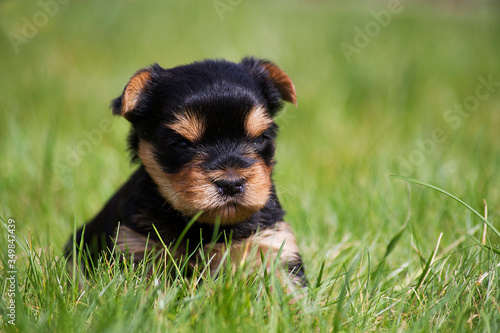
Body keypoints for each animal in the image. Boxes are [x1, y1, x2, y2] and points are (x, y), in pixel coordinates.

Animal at [65, 56, 308, 286]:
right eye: (182, 144)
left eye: (259, 139)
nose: (230, 183)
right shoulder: (135, 245)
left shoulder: (274, 242)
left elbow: (288, 287)